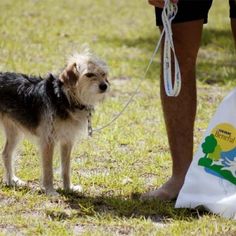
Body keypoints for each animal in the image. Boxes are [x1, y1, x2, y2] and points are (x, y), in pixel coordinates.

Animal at [0, 50, 109, 195]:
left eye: (103, 74)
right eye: (89, 74)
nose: (104, 86)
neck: (64, 97)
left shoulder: (67, 140)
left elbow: (66, 169)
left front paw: (69, 188)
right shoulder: (48, 141)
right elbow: (48, 170)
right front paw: (50, 191)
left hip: (15, 133)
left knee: (6, 154)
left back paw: (12, 181)